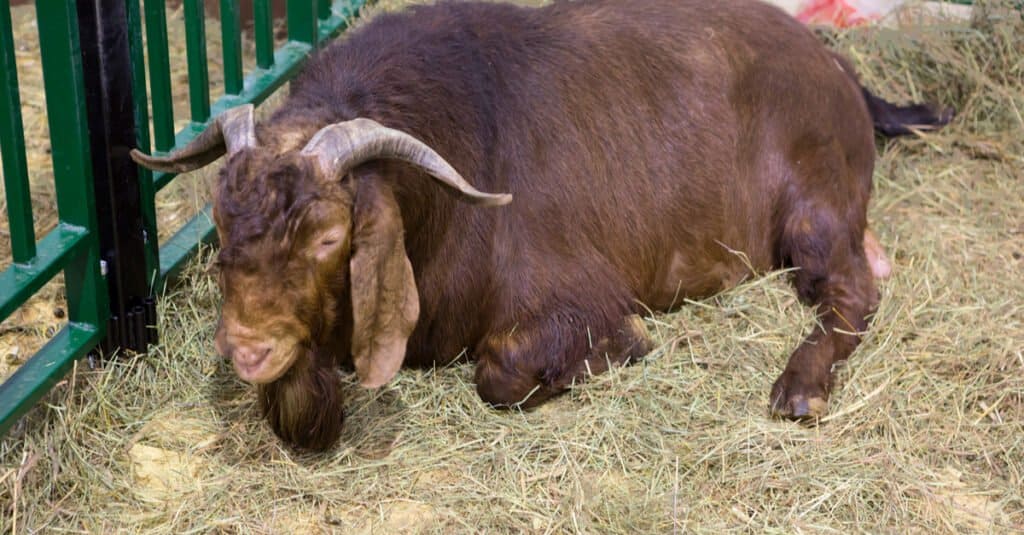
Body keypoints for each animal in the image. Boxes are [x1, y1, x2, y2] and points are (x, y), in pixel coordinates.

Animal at [130, 0, 950, 448]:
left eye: (330, 238)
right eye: (218, 215)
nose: (247, 349)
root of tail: (839, 70)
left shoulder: (571, 296)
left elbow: (502, 372)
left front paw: (623, 349)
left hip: (813, 202)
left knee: (853, 285)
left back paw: (800, 388)